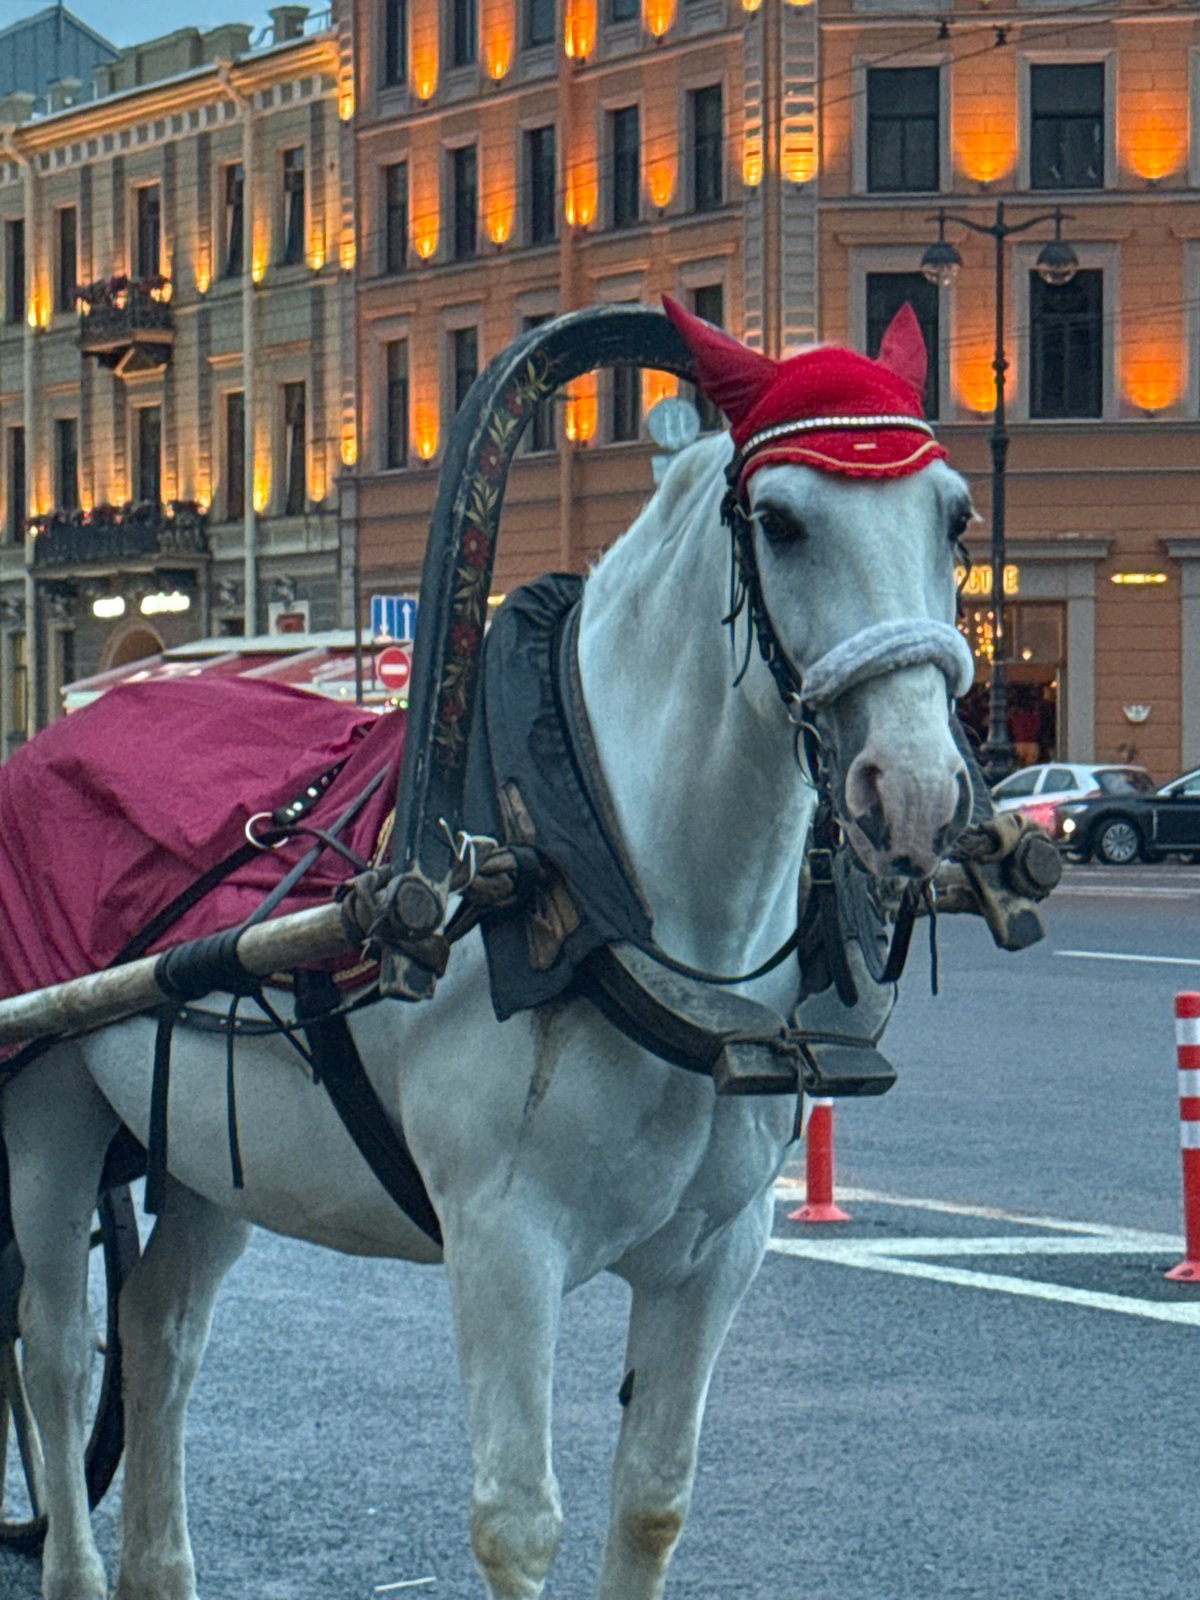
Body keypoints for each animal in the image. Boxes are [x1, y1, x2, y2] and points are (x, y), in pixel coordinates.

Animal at [2, 307, 978, 1600]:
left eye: (955, 517)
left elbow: (653, 1500)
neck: (592, 871)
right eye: (780, 520)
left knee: (159, 1328)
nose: (915, 789)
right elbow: (519, 1520)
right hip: (51, 1116)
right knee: (55, 1354)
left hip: (214, 1155)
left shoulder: (718, 1254)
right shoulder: (504, 1244)